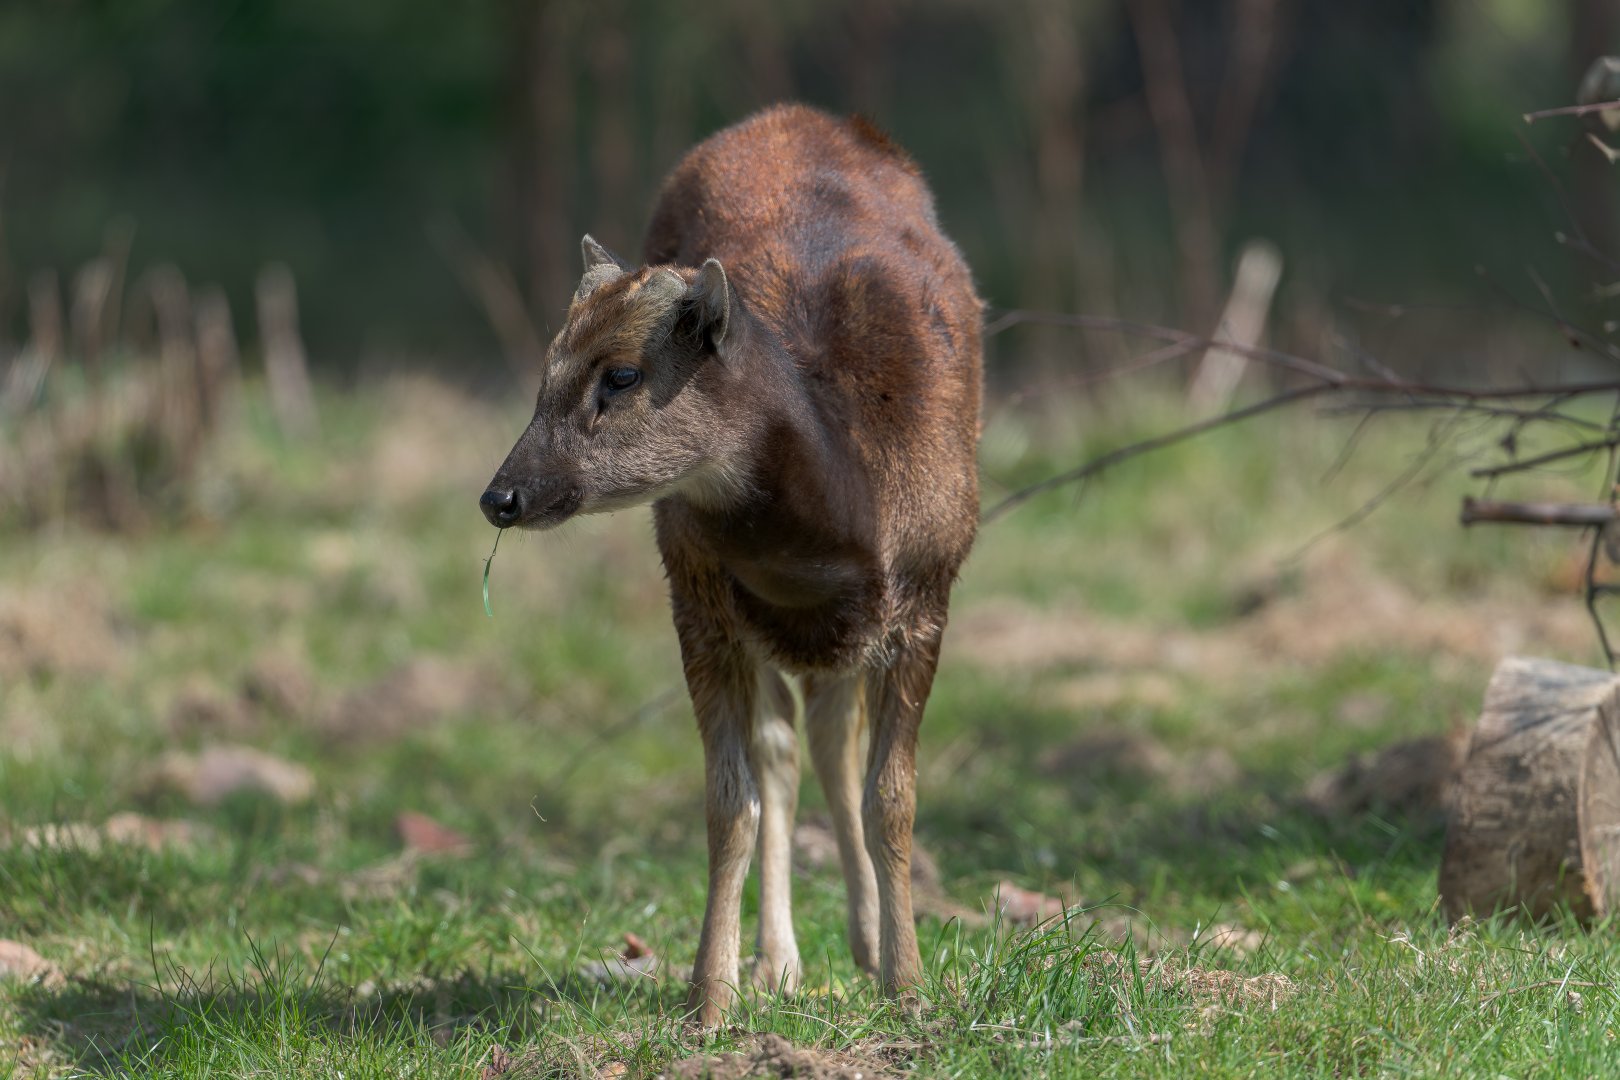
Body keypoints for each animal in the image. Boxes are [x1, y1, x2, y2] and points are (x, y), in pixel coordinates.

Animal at [480, 104, 981, 1025]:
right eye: (544, 373)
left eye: (623, 374)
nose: (502, 496)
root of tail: (796, 115)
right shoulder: (697, 597)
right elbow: (729, 799)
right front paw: (709, 997)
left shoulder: (930, 593)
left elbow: (892, 798)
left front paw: (910, 989)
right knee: (788, 750)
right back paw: (779, 961)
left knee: (829, 741)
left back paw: (862, 946)